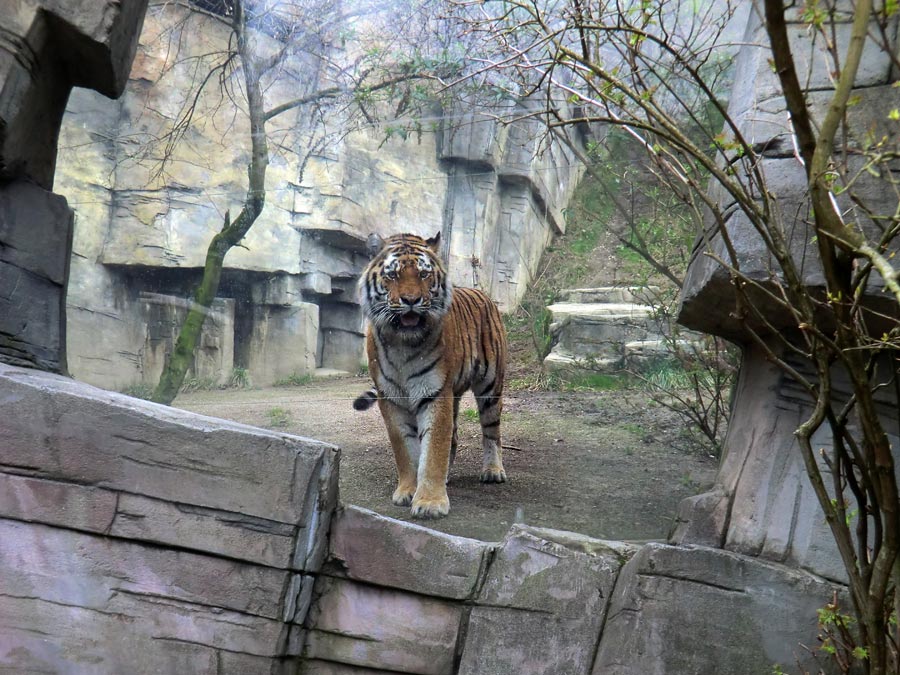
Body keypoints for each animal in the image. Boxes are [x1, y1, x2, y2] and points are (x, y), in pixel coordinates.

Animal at [352, 230, 506, 520]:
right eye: (393, 275)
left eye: (424, 275)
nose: (411, 300)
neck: (402, 343)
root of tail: (483, 294)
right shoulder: (391, 398)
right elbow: (405, 449)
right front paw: (408, 491)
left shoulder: (435, 393)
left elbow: (434, 448)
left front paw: (430, 503)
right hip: (454, 392)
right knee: (454, 435)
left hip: (490, 385)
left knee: (491, 431)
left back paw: (493, 471)